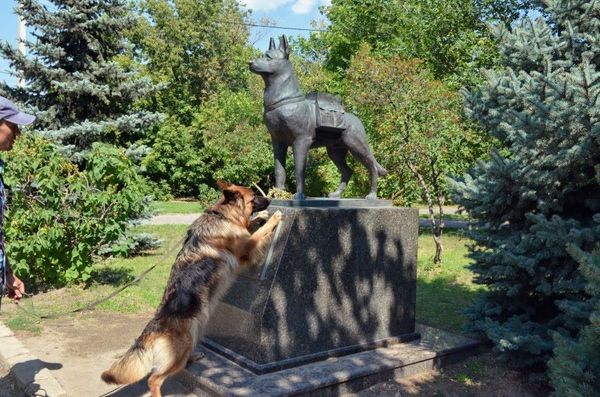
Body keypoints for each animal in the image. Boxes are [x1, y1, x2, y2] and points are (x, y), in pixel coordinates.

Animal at [101, 182, 282, 396]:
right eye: (254, 196)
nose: (270, 199)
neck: (222, 215)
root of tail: (153, 327)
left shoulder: (244, 234)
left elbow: (252, 225)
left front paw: (261, 217)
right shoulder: (247, 246)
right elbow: (259, 233)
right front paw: (274, 217)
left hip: (194, 332)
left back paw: (193, 357)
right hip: (182, 347)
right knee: (154, 379)